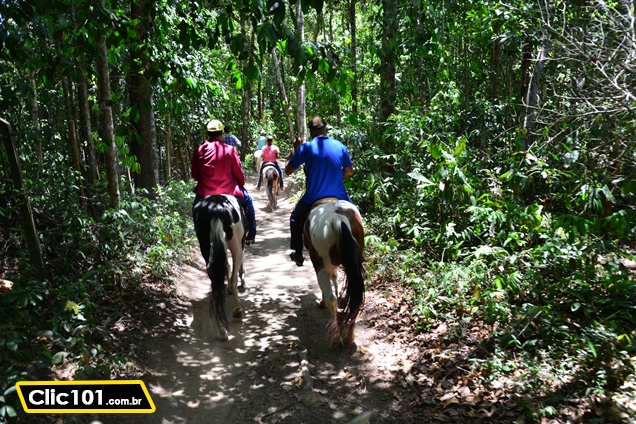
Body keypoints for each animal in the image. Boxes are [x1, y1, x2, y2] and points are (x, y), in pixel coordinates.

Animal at [193, 194, 247, 340]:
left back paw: (222, 329)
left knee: (214, 278)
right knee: (233, 276)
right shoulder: (240, 245)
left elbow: (226, 267)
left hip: (206, 246)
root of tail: (216, 209)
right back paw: (237, 309)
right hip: (236, 245)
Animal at [304, 199, 366, 348]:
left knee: (331, 298)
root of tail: (338, 218)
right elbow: (335, 278)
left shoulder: (323, 266)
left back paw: (336, 337)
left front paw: (322, 302)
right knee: (356, 298)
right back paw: (350, 336)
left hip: (320, 264)